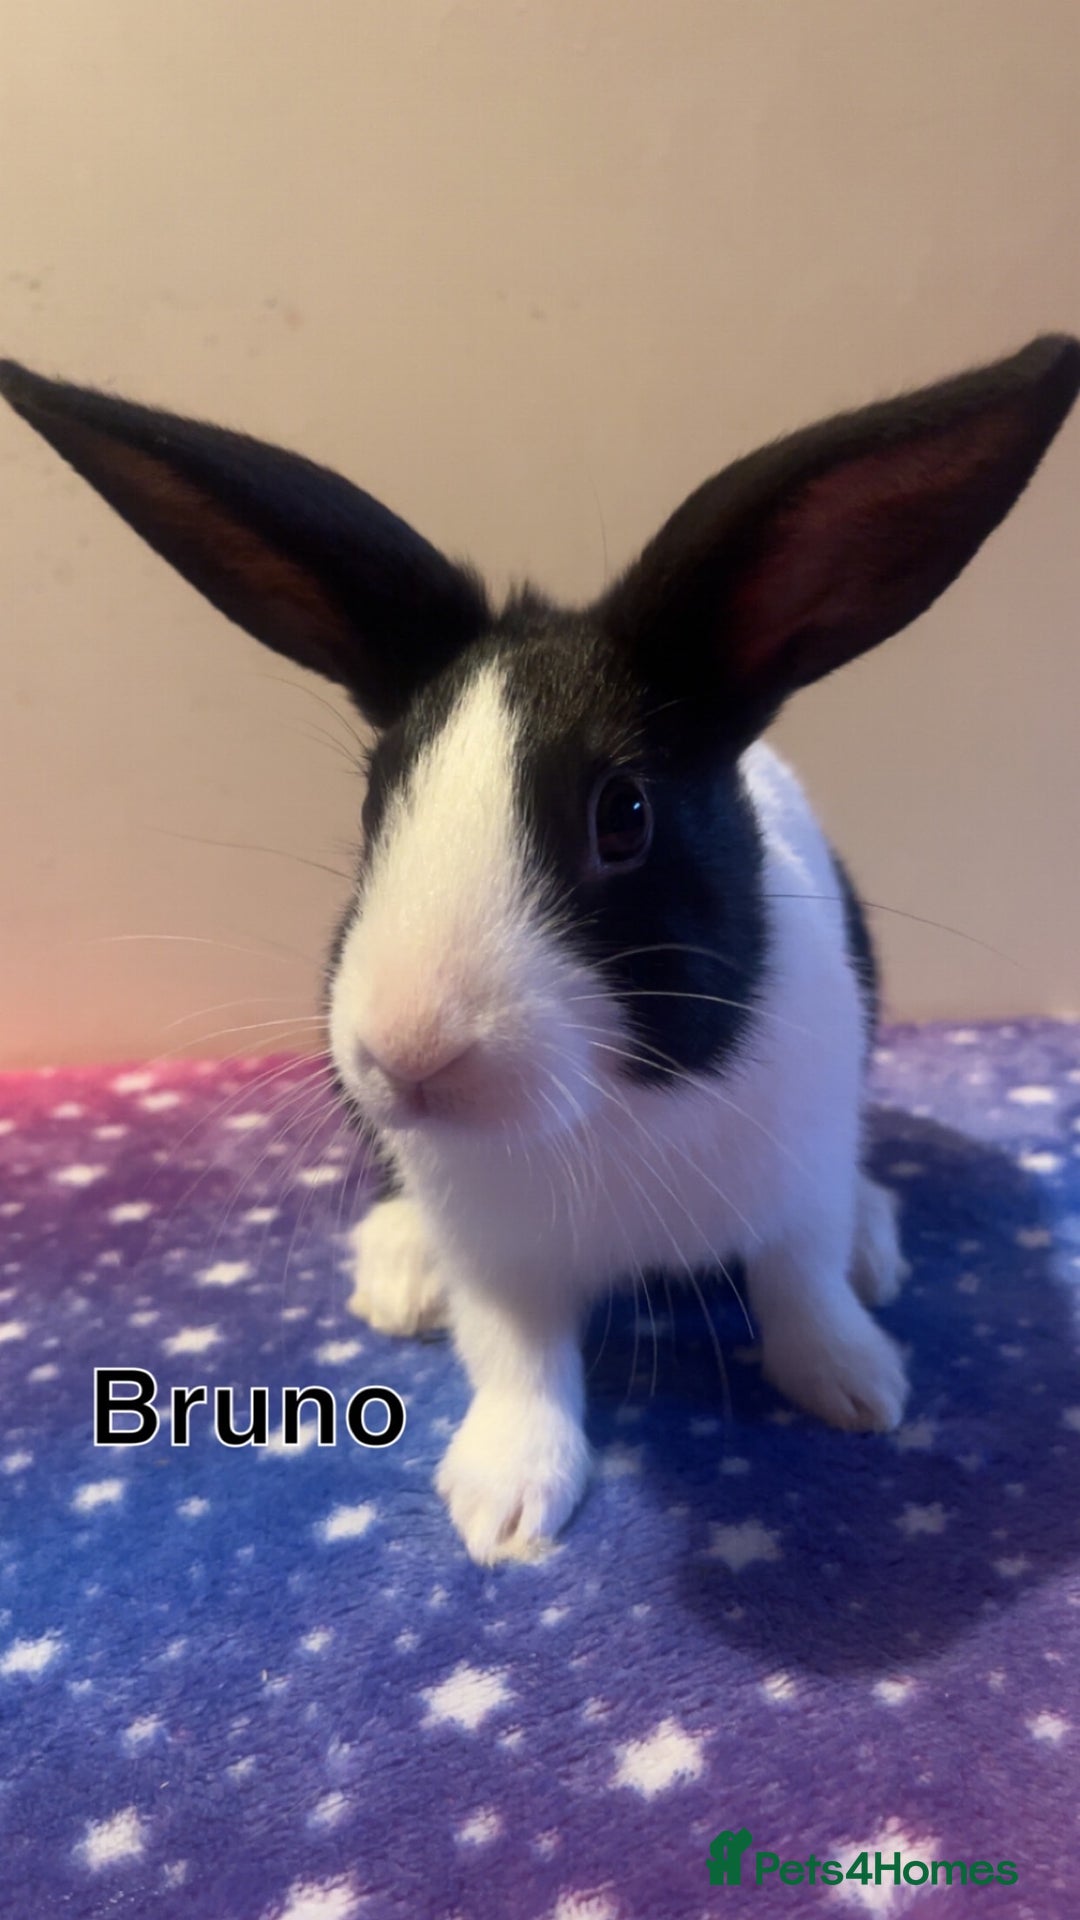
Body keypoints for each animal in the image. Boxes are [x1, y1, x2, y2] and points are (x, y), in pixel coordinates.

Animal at [2, 335, 1077, 1563]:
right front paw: (507, 1507)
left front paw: (858, 1390)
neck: (603, 1108)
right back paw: (398, 1276)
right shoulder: (497, 1255)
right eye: (375, 802)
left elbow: (800, 1286)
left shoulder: (795, 1172)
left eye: (625, 815)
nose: (409, 1057)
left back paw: (874, 1244)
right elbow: (518, 1360)